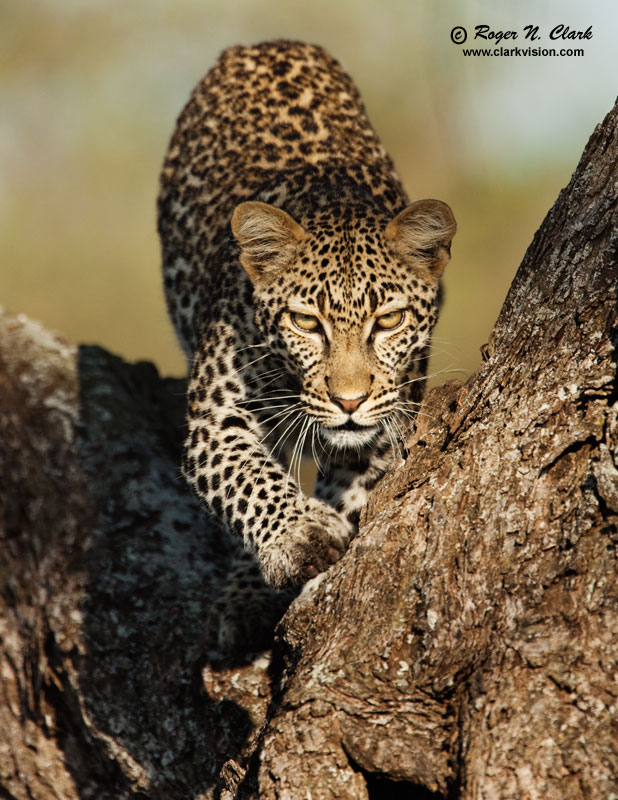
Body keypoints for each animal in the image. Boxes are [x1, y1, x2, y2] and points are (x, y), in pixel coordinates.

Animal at [156, 39, 454, 648]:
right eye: (305, 322)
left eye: (388, 321)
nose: (349, 401)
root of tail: (264, 43)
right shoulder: (216, 420)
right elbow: (249, 478)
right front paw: (299, 535)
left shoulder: (389, 421)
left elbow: (355, 486)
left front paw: (327, 526)